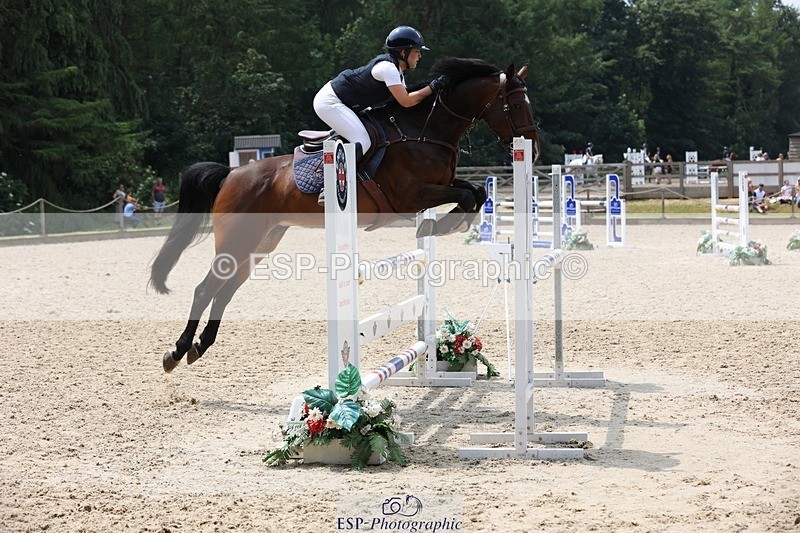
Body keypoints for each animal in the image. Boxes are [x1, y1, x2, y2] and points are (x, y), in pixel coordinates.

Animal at [149, 57, 541, 373]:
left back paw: (199, 347)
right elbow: (465, 195)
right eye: (515, 104)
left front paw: (446, 223)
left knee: (225, 291)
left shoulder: (437, 185)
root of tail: (232, 174)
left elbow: (476, 192)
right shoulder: (410, 195)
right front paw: (441, 224)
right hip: (236, 241)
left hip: (259, 245)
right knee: (205, 289)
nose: (534, 149)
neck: (423, 131)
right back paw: (177, 352)